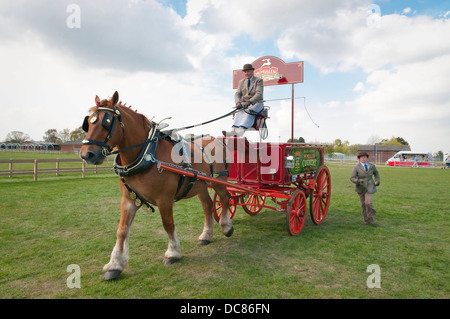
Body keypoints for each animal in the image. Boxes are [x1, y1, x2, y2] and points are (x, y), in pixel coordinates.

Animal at [80, 91, 232, 282]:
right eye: (88, 122)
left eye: (106, 122)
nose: (87, 154)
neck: (147, 154)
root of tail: (217, 140)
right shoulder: (128, 200)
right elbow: (122, 230)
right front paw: (115, 265)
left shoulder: (164, 199)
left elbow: (168, 224)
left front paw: (172, 253)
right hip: (201, 186)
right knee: (207, 206)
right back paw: (206, 235)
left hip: (219, 180)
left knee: (225, 199)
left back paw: (226, 226)